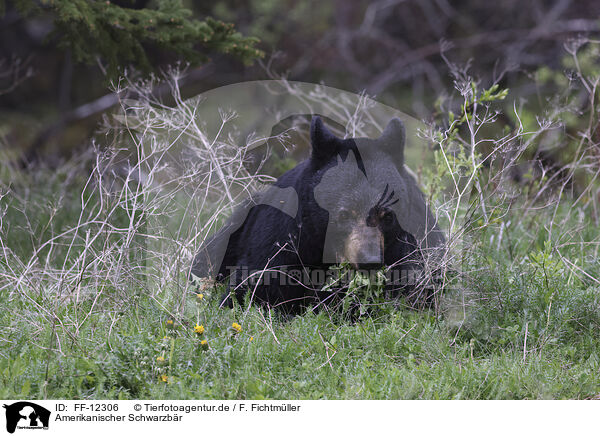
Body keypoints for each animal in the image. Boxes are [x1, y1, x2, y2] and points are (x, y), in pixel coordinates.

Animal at [192, 116, 446, 314]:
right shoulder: (282, 238)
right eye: (343, 214)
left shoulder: (415, 240)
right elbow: (254, 284)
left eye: (388, 216)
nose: (370, 260)